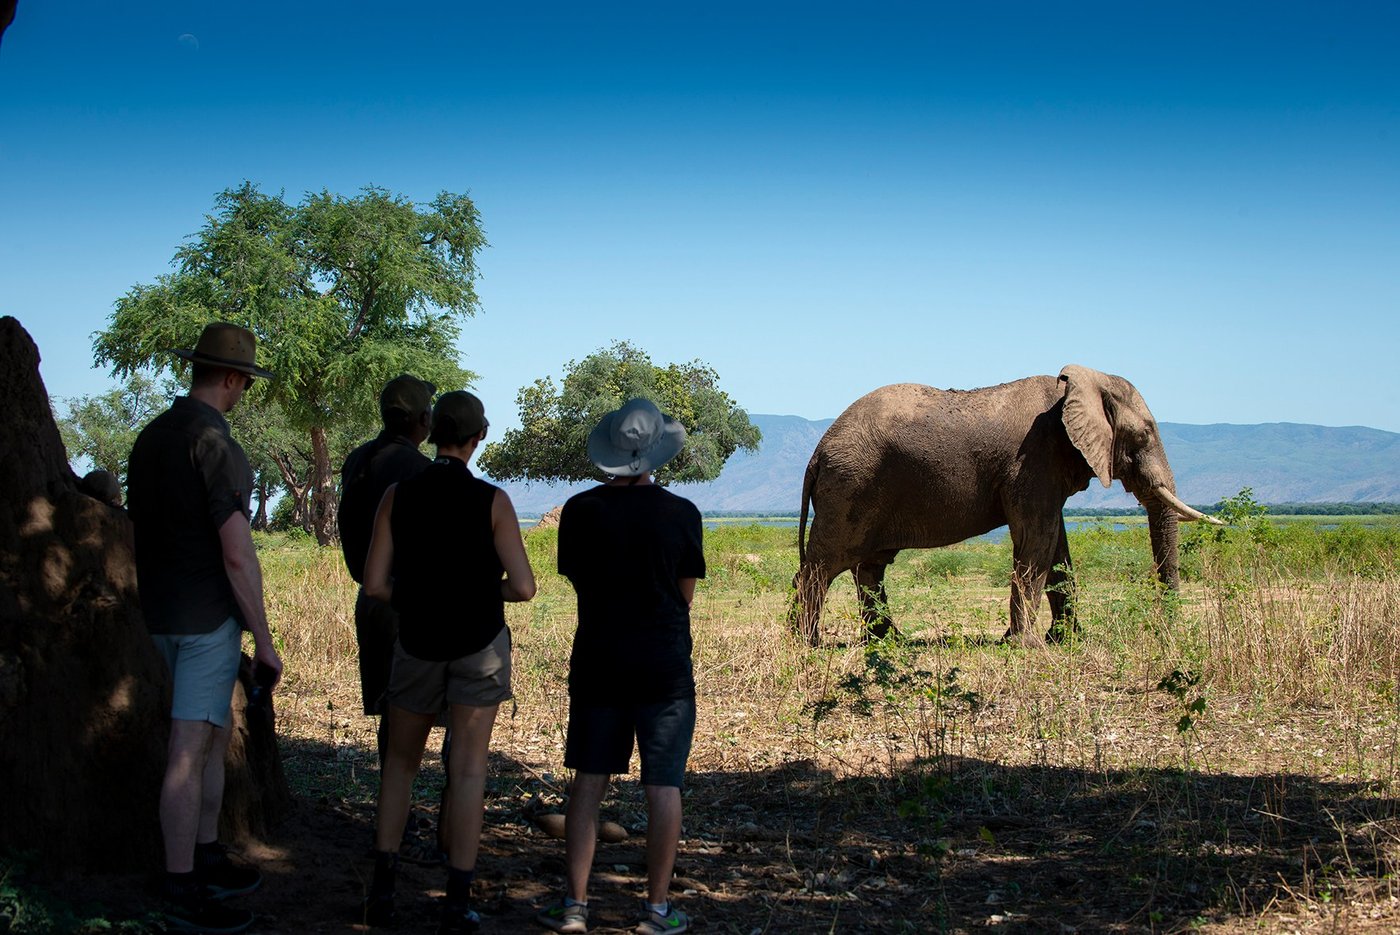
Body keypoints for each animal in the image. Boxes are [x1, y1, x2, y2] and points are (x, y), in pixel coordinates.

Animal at [791, 365, 1222, 645]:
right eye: (1145, 434)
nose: (1164, 631)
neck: (1074, 387)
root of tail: (816, 454)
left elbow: (1056, 547)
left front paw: (1065, 640)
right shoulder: (1034, 461)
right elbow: (1037, 541)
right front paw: (1029, 645)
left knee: (869, 566)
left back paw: (889, 642)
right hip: (851, 486)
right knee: (824, 566)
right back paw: (808, 644)